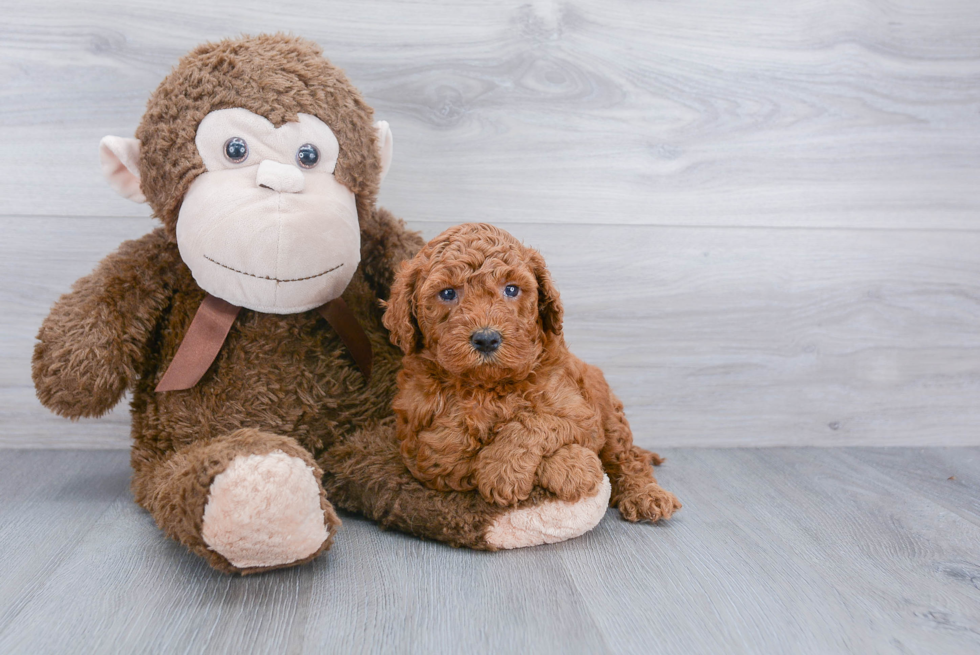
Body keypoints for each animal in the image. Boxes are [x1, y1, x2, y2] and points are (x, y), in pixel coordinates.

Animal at [382, 224, 680, 524]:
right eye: (447, 294)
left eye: (511, 289)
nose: (486, 339)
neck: (489, 386)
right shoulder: (428, 448)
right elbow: (465, 451)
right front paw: (573, 467)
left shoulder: (582, 414)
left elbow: (537, 421)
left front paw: (523, 470)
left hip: (609, 412)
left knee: (627, 458)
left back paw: (645, 495)